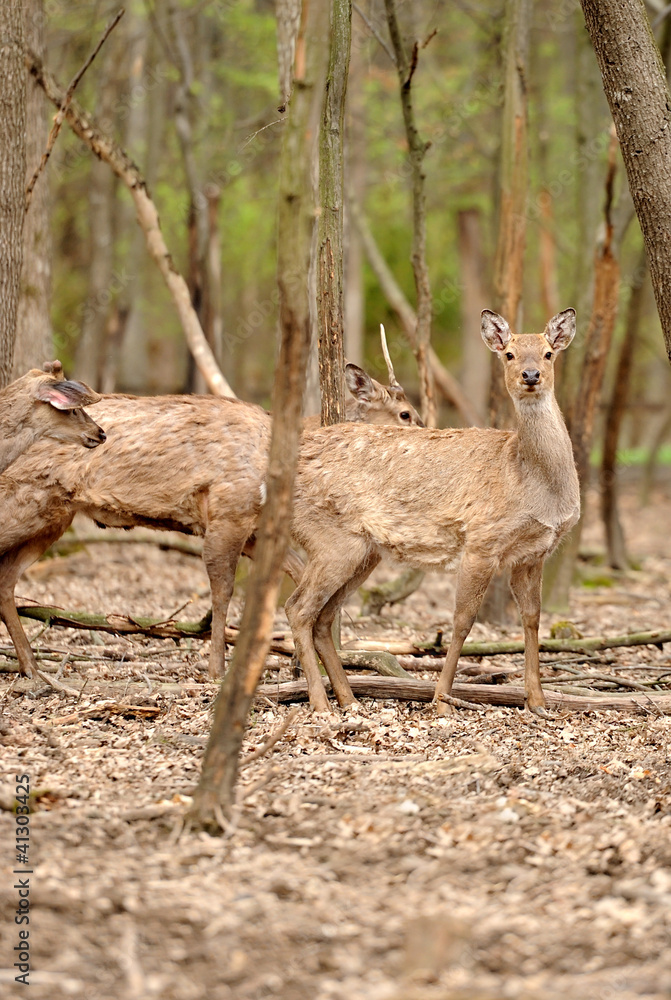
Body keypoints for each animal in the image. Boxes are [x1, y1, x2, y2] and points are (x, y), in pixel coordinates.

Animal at [0, 344, 420, 680]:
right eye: (405, 414)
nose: (426, 432)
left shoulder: (253, 530)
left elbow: (293, 576)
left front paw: (296, 663)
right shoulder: (228, 510)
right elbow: (223, 592)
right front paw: (218, 669)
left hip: (54, 517)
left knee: (7, 578)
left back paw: (31, 666)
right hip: (26, 501)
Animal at [286, 308, 580, 716]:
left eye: (549, 353)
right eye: (509, 354)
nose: (531, 375)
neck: (531, 481)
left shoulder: (532, 554)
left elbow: (533, 618)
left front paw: (536, 700)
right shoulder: (481, 541)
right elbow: (462, 621)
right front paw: (442, 699)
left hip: (363, 552)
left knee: (323, 616)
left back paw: (348, 699)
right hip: (330, 538)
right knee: (298, 608)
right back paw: (320, 703)